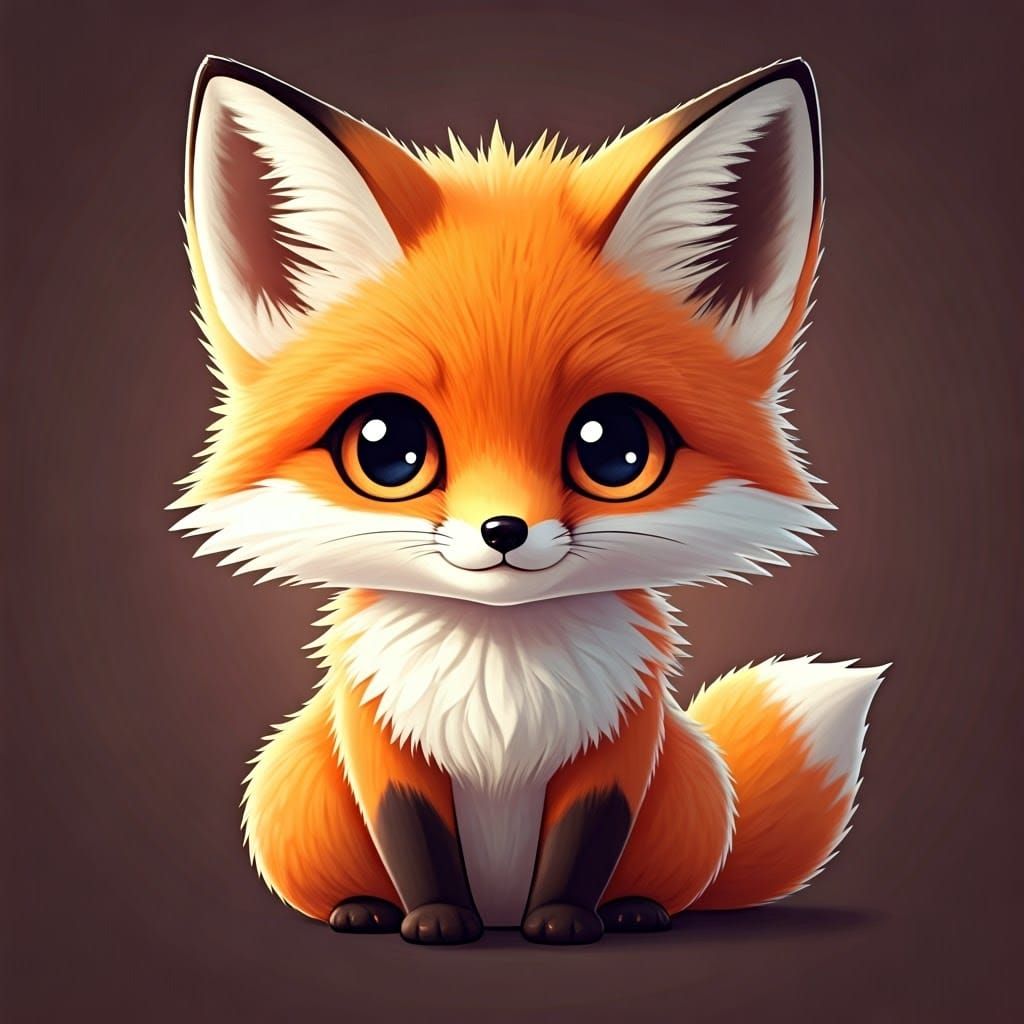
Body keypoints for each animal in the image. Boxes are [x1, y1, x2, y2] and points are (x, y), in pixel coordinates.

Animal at [171, 55, 888, 945]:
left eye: (615, 447)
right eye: (384, 446)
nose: (503, 529)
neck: (501, 671)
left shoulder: (621, 745)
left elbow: (582, 845)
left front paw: (564, 920)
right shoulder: (380, 740)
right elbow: (415, 838)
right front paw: (436, 919)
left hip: (686, 780)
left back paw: (635, 910)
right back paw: (363, 909)